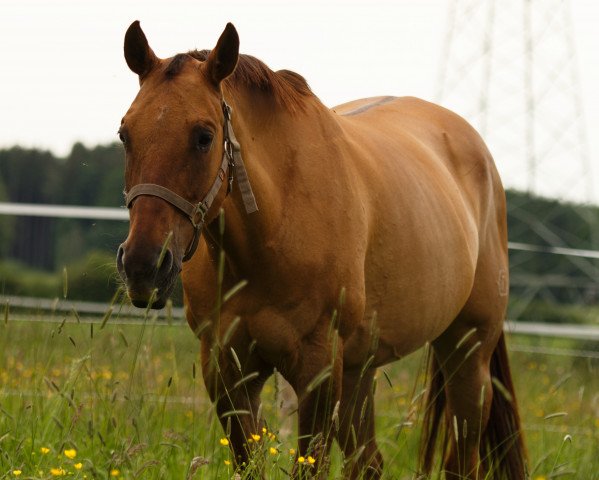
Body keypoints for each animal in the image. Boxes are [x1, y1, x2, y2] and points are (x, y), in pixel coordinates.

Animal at [116, 20, 524, 478]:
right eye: (125, 134)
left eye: (204, 136)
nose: (143, 265)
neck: (272, 233)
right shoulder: (226, 371)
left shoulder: (319, 372)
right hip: (361, 370)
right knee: (368, 463)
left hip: (467, 356)